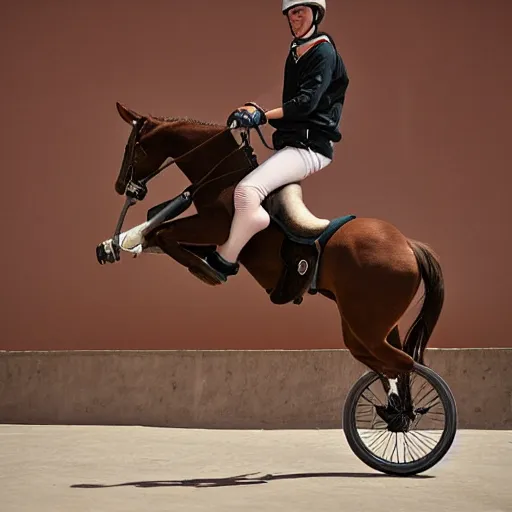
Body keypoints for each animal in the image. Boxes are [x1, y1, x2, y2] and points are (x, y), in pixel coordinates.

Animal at [96, 102, 444, 380]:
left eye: (136, 148)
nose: (121, 187)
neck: (222, 177)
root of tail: (408, 246)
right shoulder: (204, 233)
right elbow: (156, 228)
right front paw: (117, 244)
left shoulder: (213, 228)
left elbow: (164, 232)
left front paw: (207, 270)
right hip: (374, 325)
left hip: (366, 328)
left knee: (400, 364)